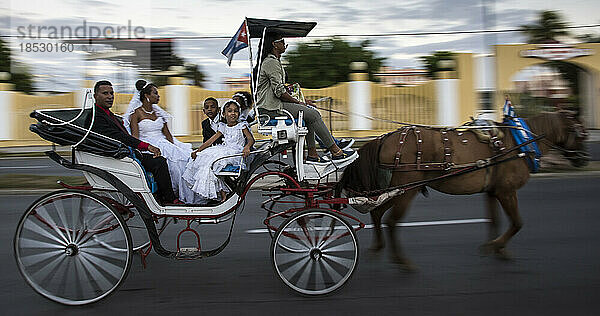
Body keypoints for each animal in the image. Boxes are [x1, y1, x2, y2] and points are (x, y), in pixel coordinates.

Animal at [340, 111, 588, 270]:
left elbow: (494, 220)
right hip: (407, 189)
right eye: (581, 133)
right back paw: (402, 262)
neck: (520, 141)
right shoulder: (507, 191)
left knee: (377, 213)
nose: (583, 160)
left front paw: (495, 248)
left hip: (402, 189)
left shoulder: (493, 191)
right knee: (391, 221)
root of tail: (387, 138)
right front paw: (497, 245)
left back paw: (378, 248)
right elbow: (517, 223)